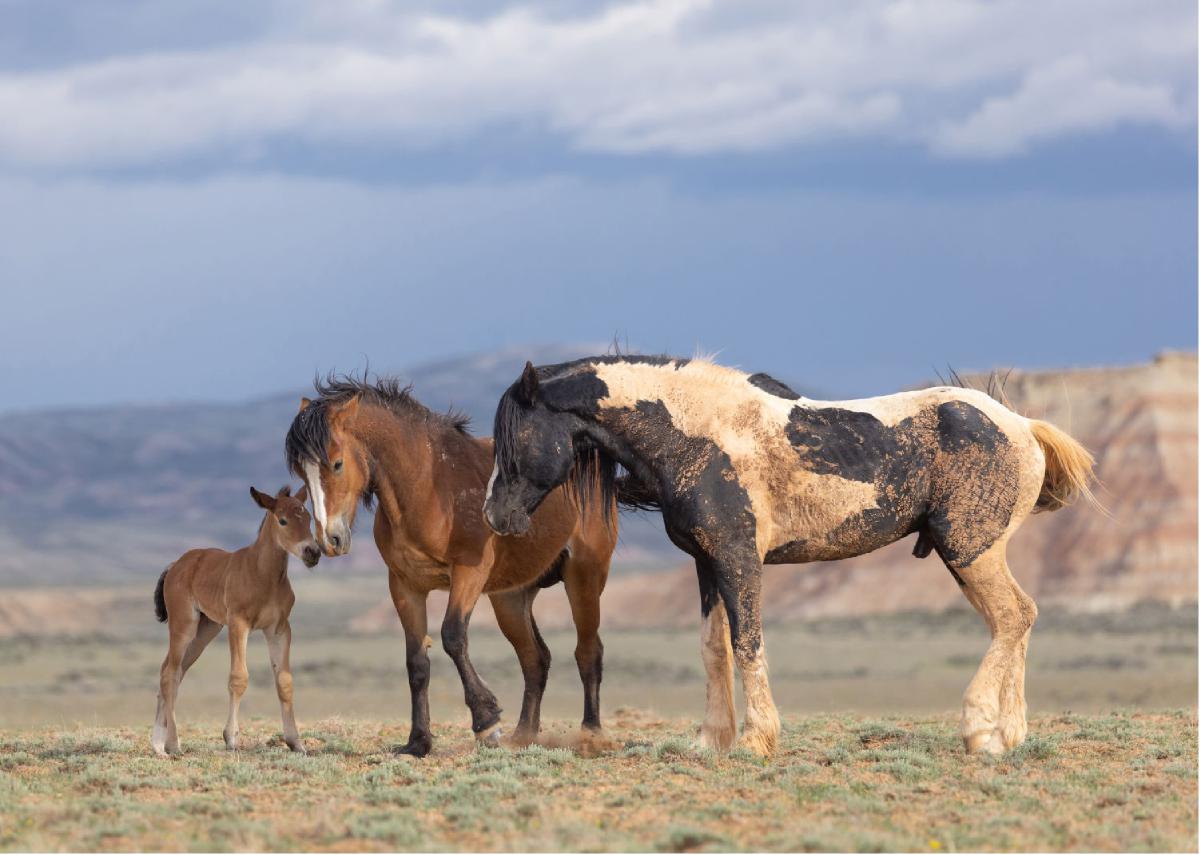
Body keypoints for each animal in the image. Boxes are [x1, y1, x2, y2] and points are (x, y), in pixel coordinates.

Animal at [149, 485, 319, 758]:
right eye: (282, 520)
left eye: (309, 517)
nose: (312, 553)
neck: (263, 575)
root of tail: (176, 565)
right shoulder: (239, 623)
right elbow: (239, 678)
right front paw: (230, 739)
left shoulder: (279, 629)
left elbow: (284, 681)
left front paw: (296, 742)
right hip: (184, 624)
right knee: (170, 673)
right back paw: (172, 745)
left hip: (206, 630)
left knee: (174, 671)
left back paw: (158, 743)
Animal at [283, 374, 619, 754]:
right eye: (301, 472)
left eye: (337, 463)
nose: (331, 540)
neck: (428, 486)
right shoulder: (405, 585)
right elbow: (416, 660)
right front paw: (418, 742)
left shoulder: (468, 573)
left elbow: (453, 637)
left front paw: (486, 721)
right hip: (511, 598)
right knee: (535, 659)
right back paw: (524, 735)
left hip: (584, 578)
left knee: (588, 651)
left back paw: (590, 733)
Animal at [484, 357, 1099, 758]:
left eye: (515, 439)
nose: (494, 516)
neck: (699, 436)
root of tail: (1023, 426)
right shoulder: (707, 564)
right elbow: (714, 648)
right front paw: (710, 739)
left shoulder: (739, 560)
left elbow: (748, 642)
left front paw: (757, 739)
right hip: (972, 557)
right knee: (1016, 619)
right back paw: (1009, 734)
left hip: (970, 550)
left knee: (1013, 617)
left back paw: (979, 732)